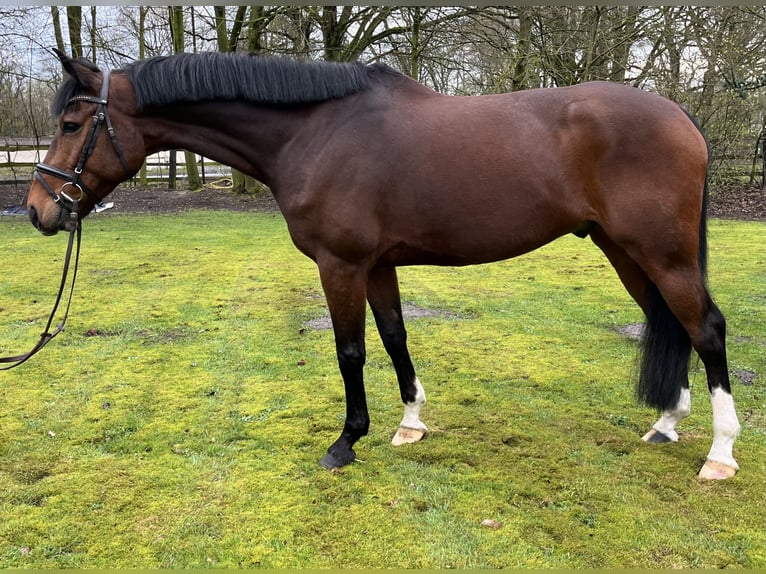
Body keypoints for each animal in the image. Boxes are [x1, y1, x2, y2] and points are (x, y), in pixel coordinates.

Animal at [27, 51, 740, 480]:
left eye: (70, 124)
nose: (37, 210)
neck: (313, 132)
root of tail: (680, 116)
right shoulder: (377, 265)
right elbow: (395, 335)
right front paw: (409, 424)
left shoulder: (339, 264)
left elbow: (350, 350)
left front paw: (347, 441)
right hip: (625, 251)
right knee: (669, 324)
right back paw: (665, 425)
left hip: (663, 253)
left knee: (705, 329)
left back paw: (720, 454)